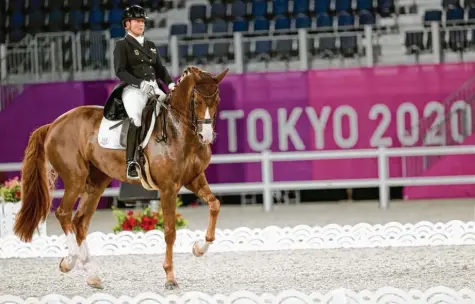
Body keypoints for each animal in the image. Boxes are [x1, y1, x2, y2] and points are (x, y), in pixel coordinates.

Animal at [13, 66, 230, 290]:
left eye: (217, 99)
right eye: (196, 100)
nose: (206, 136)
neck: (177, 130)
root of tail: (53, 124)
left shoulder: (194, 178)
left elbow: (215, 205)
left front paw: (199, 248)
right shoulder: (168, 188)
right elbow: (170, 231)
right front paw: (170, 278)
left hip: (97, 183)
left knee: (80, 222)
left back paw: (91, 274)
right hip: (75, 179)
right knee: (64, 214)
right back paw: (70, 261)